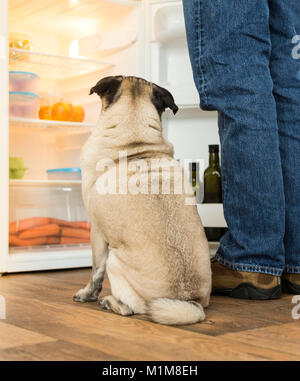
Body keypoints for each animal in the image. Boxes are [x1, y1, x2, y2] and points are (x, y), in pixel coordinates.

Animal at [74, 75, 211, 326]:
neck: (134, 145)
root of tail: (189, 301)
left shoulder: (97, 231)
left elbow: (95, 271)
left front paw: (88, 294)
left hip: (114, 259)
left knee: (131, 308)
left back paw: (109, 302)